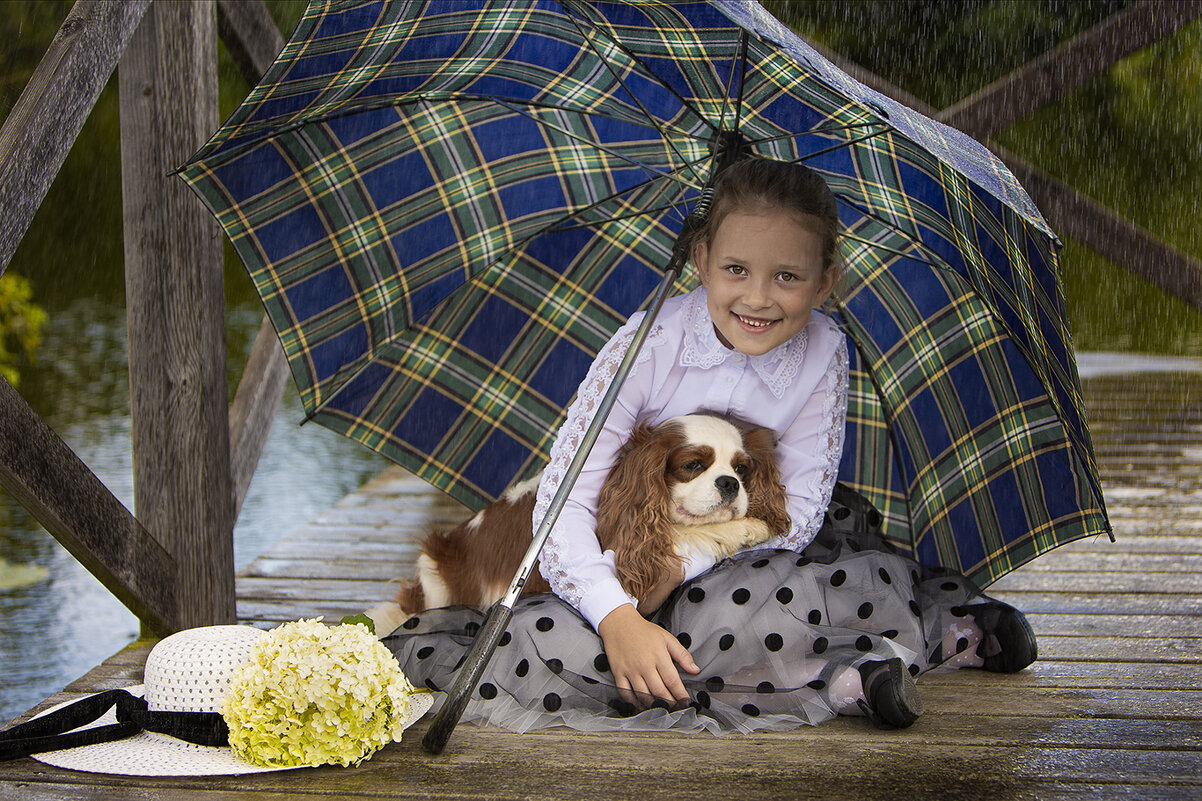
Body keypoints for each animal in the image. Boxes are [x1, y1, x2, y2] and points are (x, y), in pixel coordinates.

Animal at [370, 411, 793, 630]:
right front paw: (748, 527)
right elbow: (689, 530)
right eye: (693, 465)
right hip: (436, 576)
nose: (729, 483)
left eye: (741, 469)